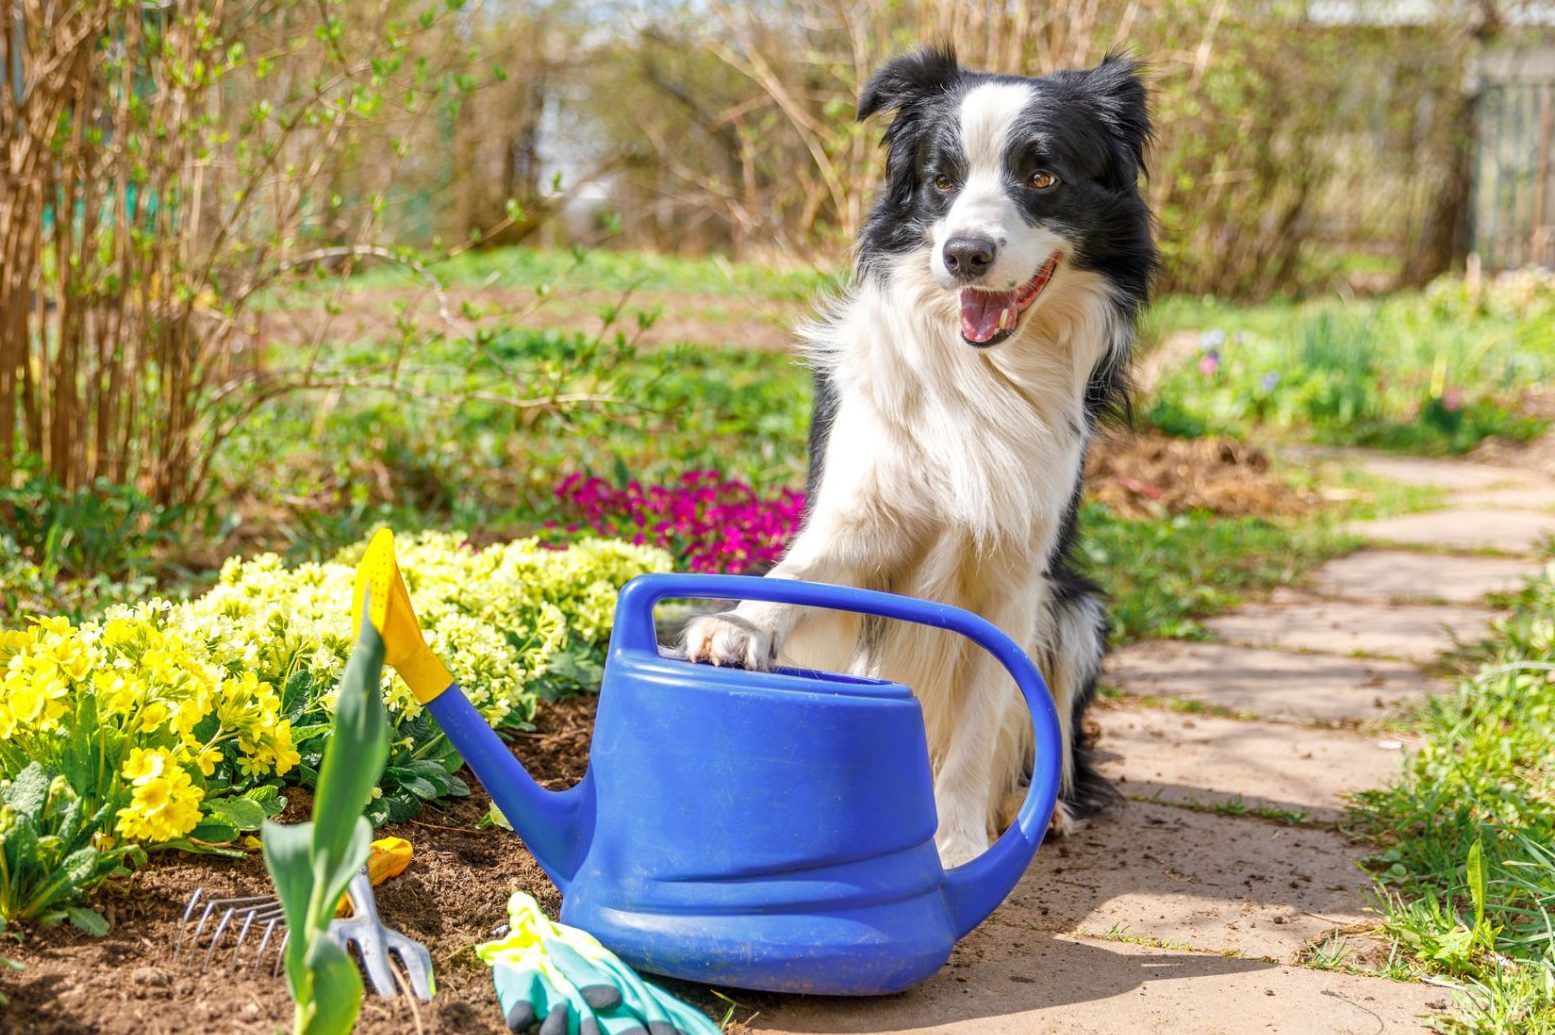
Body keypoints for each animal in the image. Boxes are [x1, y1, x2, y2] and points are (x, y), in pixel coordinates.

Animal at [684, 48, 1156, 864]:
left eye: (1041, 175)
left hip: (1079, 611)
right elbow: (799, 574)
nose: (964, 254)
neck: (983, 370)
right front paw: (735, 626)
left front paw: (960, 842)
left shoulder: (1016, 575)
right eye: (942, 179)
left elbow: (981, 721)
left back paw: (1043, 811)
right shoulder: (865, 512)